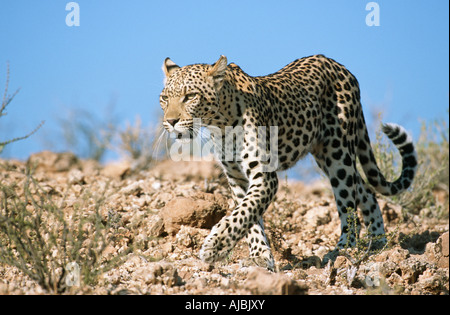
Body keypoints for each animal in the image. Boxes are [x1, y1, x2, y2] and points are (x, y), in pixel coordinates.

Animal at [159, 53, 418, 270]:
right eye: (164, 99)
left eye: (190, 96)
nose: (170, 122)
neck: (219, 124)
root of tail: (340, 66)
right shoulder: (237, 179)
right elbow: (249, 218)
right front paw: (259, 256)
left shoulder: (264, 176)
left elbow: (243, 213)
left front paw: (214, 246)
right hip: (325, 155)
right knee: (365, 190)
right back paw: (378, 243)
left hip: (339, 155)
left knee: (348, 203)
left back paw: (343, 249)